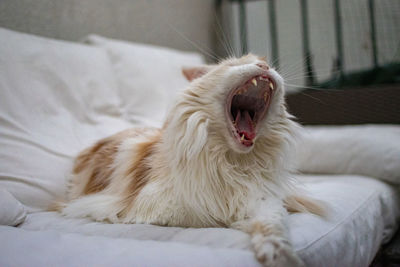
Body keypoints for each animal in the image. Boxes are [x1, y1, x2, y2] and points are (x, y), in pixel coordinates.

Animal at [59, 53, 324, 266]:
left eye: (267, 63)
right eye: (234, 64)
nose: (264, 65)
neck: (230, 161)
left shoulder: (262, 200)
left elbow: (272, 226)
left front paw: (280, 255)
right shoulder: (155, 208)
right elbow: (206, 215)